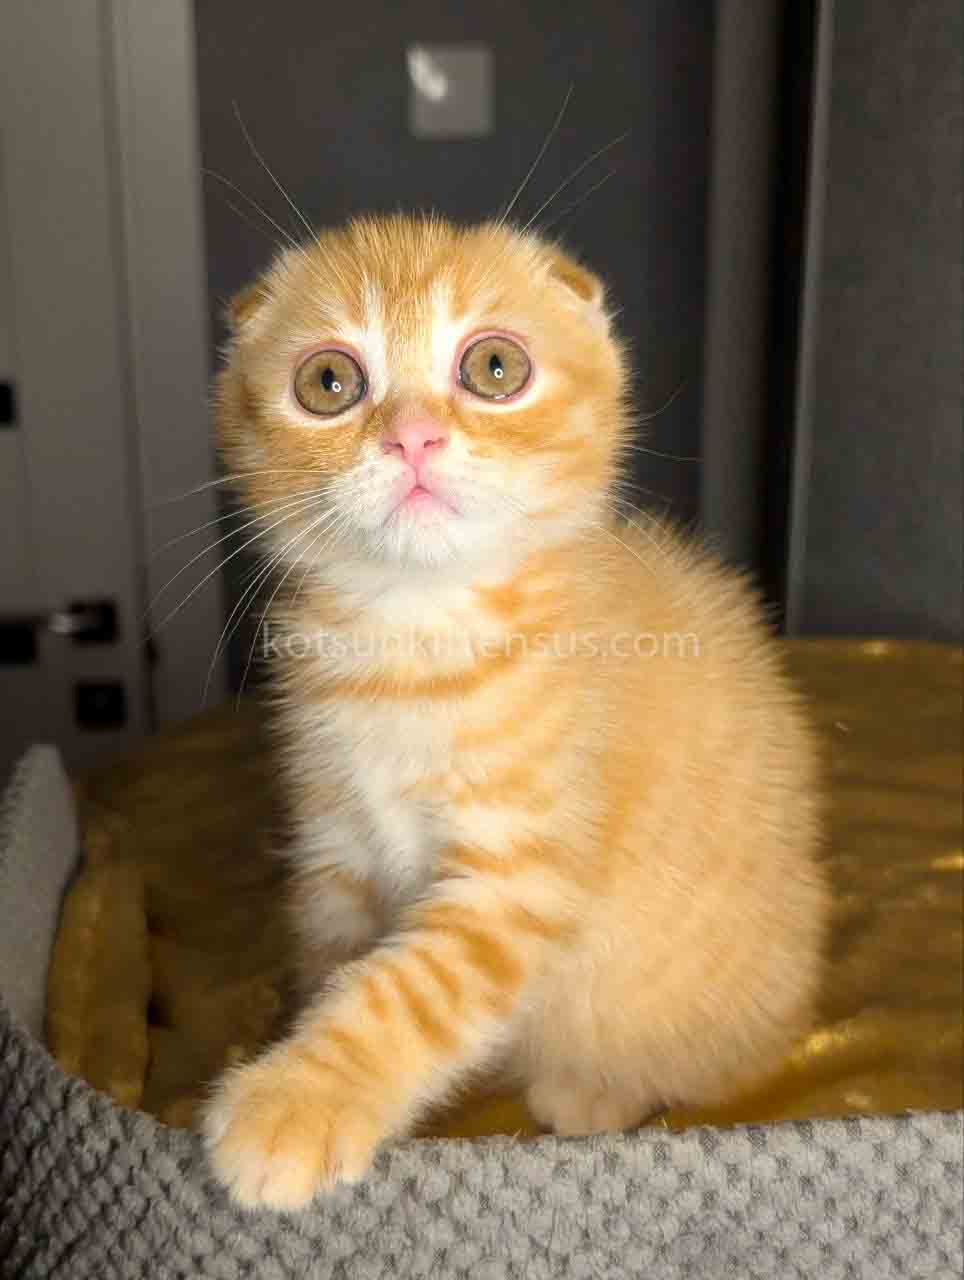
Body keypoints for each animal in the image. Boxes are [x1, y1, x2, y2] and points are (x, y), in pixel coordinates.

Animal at [202, 214, 826, 1210]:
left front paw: (294, 1101)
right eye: (329, 383)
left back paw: (593, 1093)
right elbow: (339, 963)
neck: (411, 640)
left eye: (494, 368)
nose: (413, 438)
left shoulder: (518, 879)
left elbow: (406, 993)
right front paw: (295, 1040)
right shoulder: (335, 848)